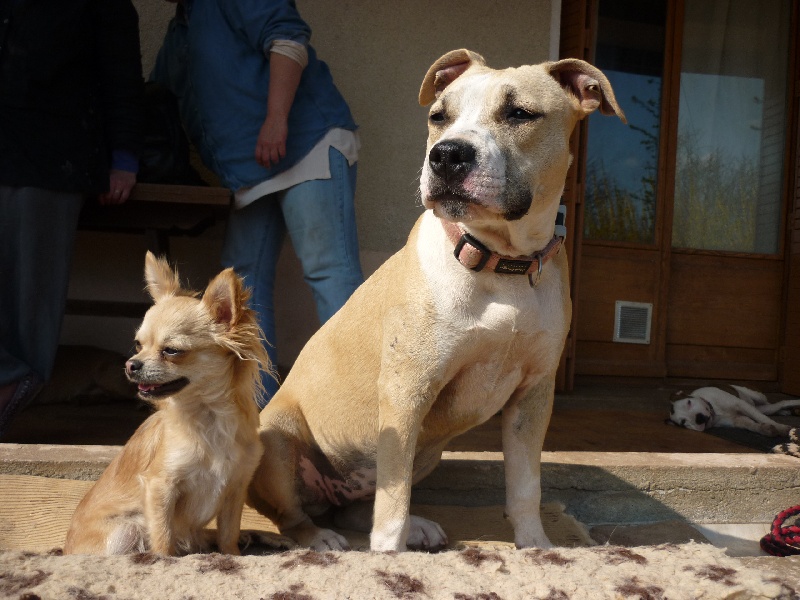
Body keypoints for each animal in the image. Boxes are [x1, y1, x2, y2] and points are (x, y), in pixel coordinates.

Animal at [64, 251, 270, 556]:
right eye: (138, 345)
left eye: (171, 351)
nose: (130, 365)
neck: (208, 417)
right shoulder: (161, 486)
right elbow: (163, 537)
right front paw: (163, 559)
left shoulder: (236, 488)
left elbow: (228, 535)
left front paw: (232, 555)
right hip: (125, 531)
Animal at [248, 49, 624, 552]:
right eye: (438, 116)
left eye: (519, 114)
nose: (446, 154)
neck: (500, 263)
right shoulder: (407, 390)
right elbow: (392, 503)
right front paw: (388, 556)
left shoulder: (533, 396)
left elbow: (526, 487)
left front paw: (535, 548)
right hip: (278, 439)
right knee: (295, 515)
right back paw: (321, 538)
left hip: (427, 451)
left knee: (355, 506)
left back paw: (412, 525)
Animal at [668, 384, 800, 436]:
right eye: (683, 422)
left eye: (689, 403)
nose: (699, 418)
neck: (715, 411)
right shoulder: (738, 420)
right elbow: (752, 425)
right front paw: (765, 429)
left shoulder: (740, 404)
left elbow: (761, 418)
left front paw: (781, 427)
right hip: (762, 407)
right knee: (773, 407)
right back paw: (785, 412)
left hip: (757, 396)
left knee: (780, 403)